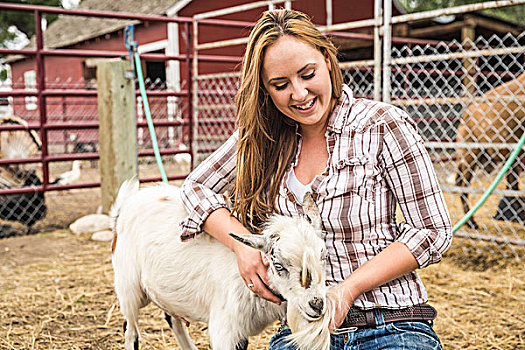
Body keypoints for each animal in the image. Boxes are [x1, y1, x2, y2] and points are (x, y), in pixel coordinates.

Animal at [110, 180, 334, 350]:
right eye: (278, 265)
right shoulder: (225, 329)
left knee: (173, 319)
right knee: (130, 329)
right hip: (129, 286)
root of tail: (126, 204)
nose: (317, 305)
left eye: (324, 255)